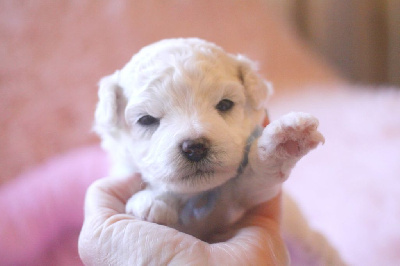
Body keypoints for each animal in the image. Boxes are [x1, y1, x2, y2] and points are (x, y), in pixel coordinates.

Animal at [94, 37, 324, 243]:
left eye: (224, 105)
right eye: (147, 119)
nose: (195, 148)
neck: (198, 194)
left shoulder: (243, 199)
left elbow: (256, 178)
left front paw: (285, 139)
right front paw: (152, 200)